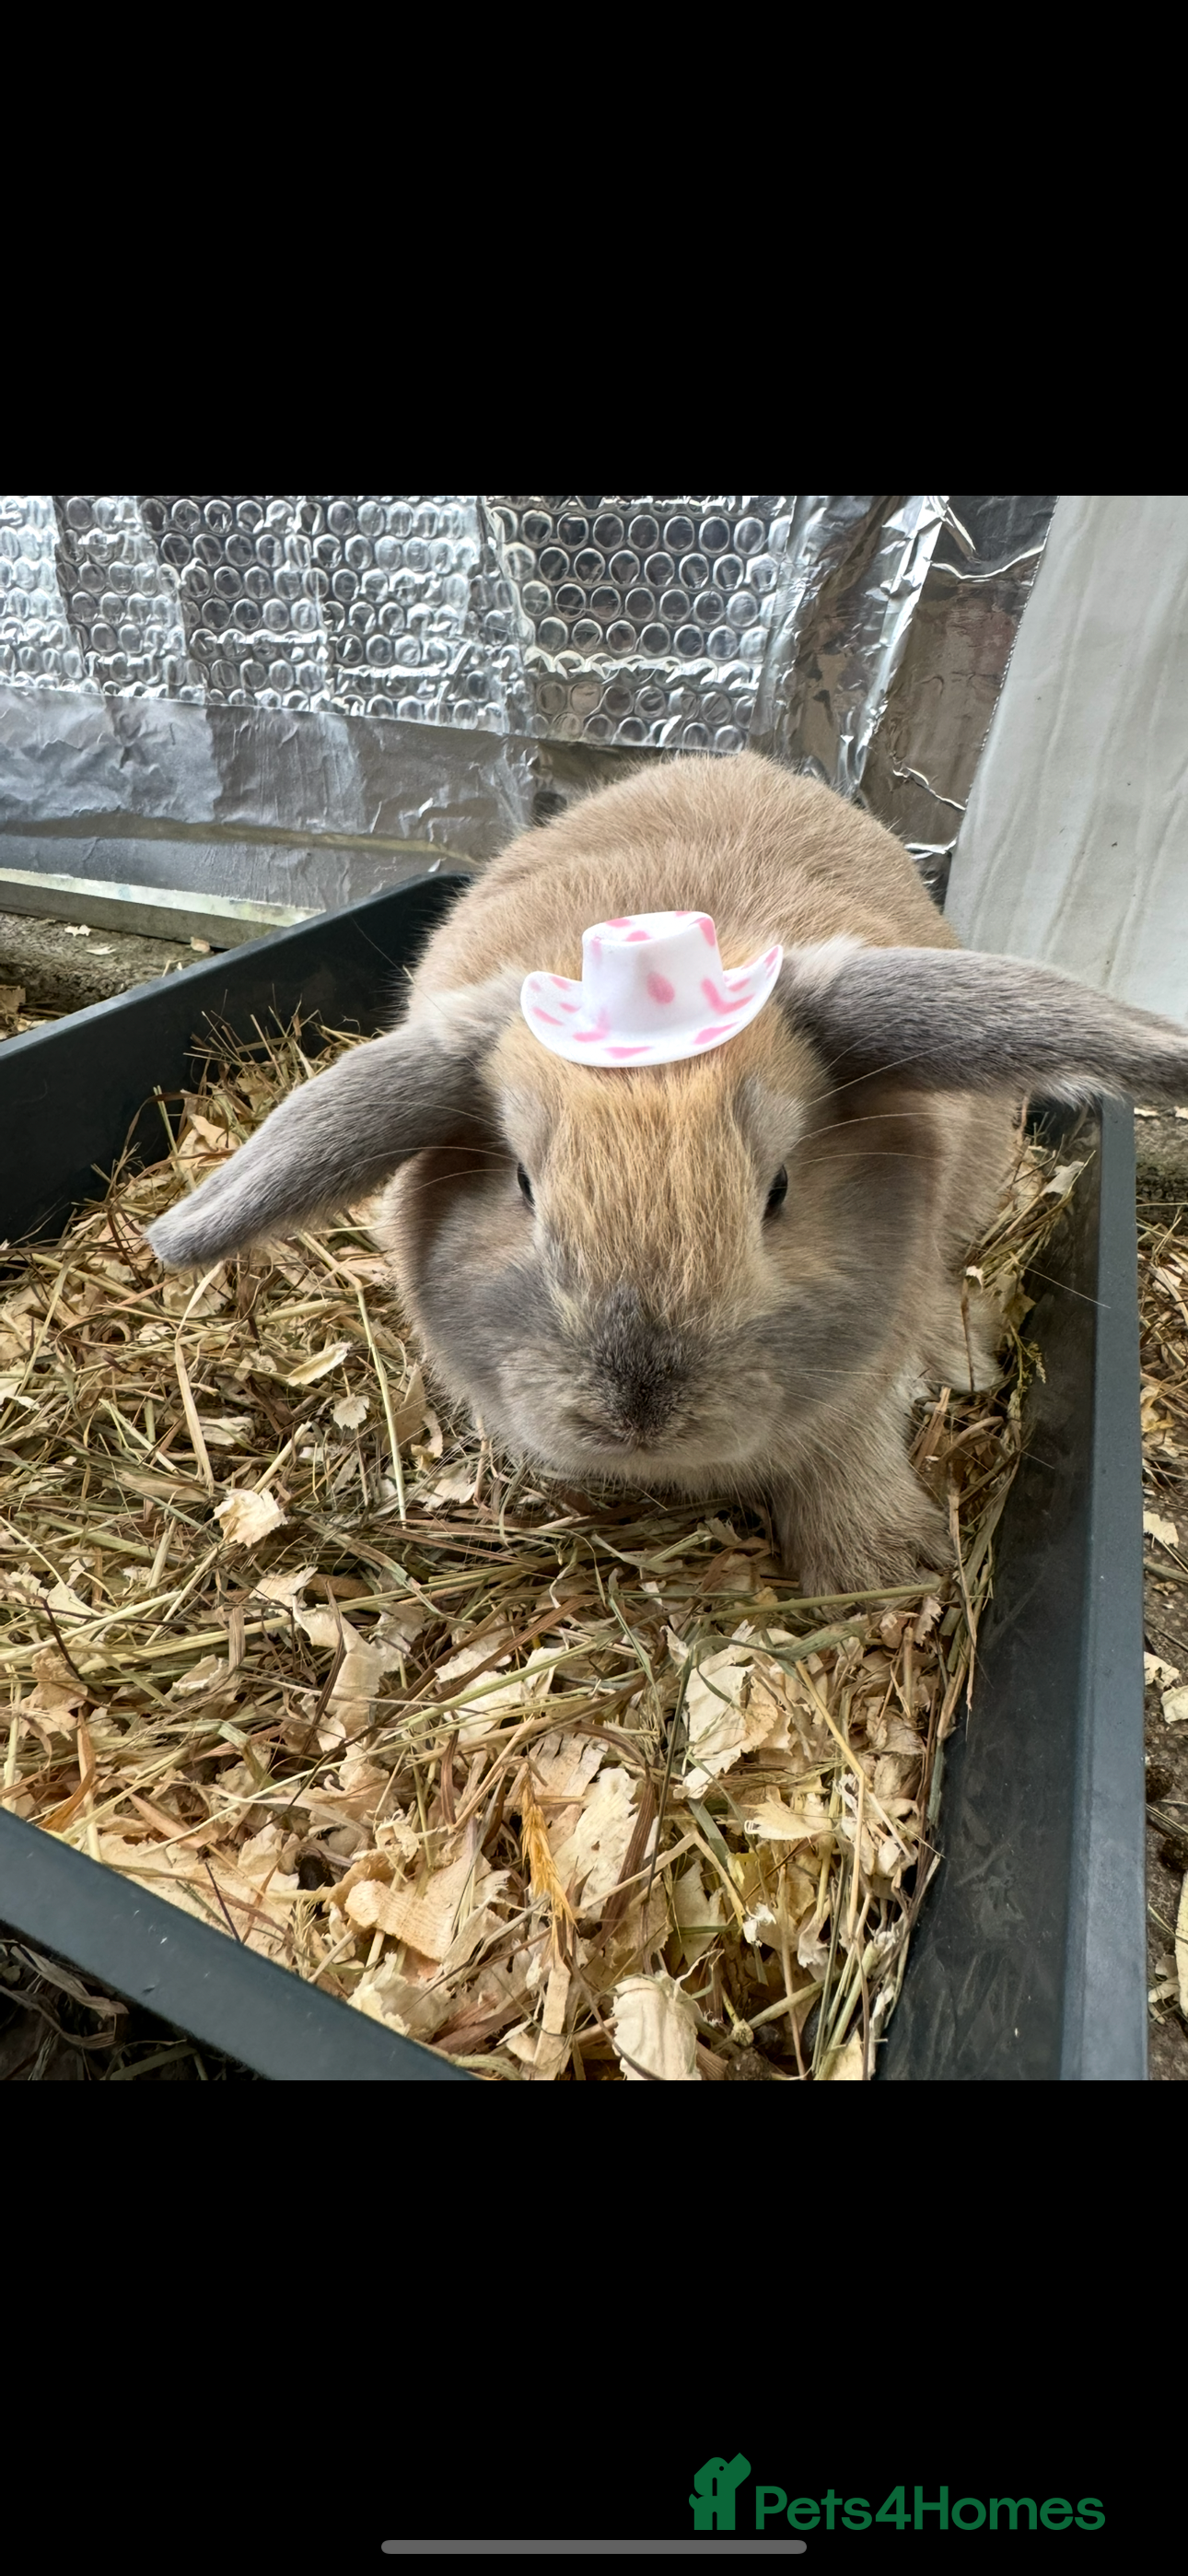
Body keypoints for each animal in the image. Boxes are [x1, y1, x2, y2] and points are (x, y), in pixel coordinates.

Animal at [146, 751, 1188, 1594]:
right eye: (523, 1187)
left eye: (778, 1191)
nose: (638, 1414)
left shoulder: (860, 1384)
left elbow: (847, 1448)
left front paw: (879, 1574)